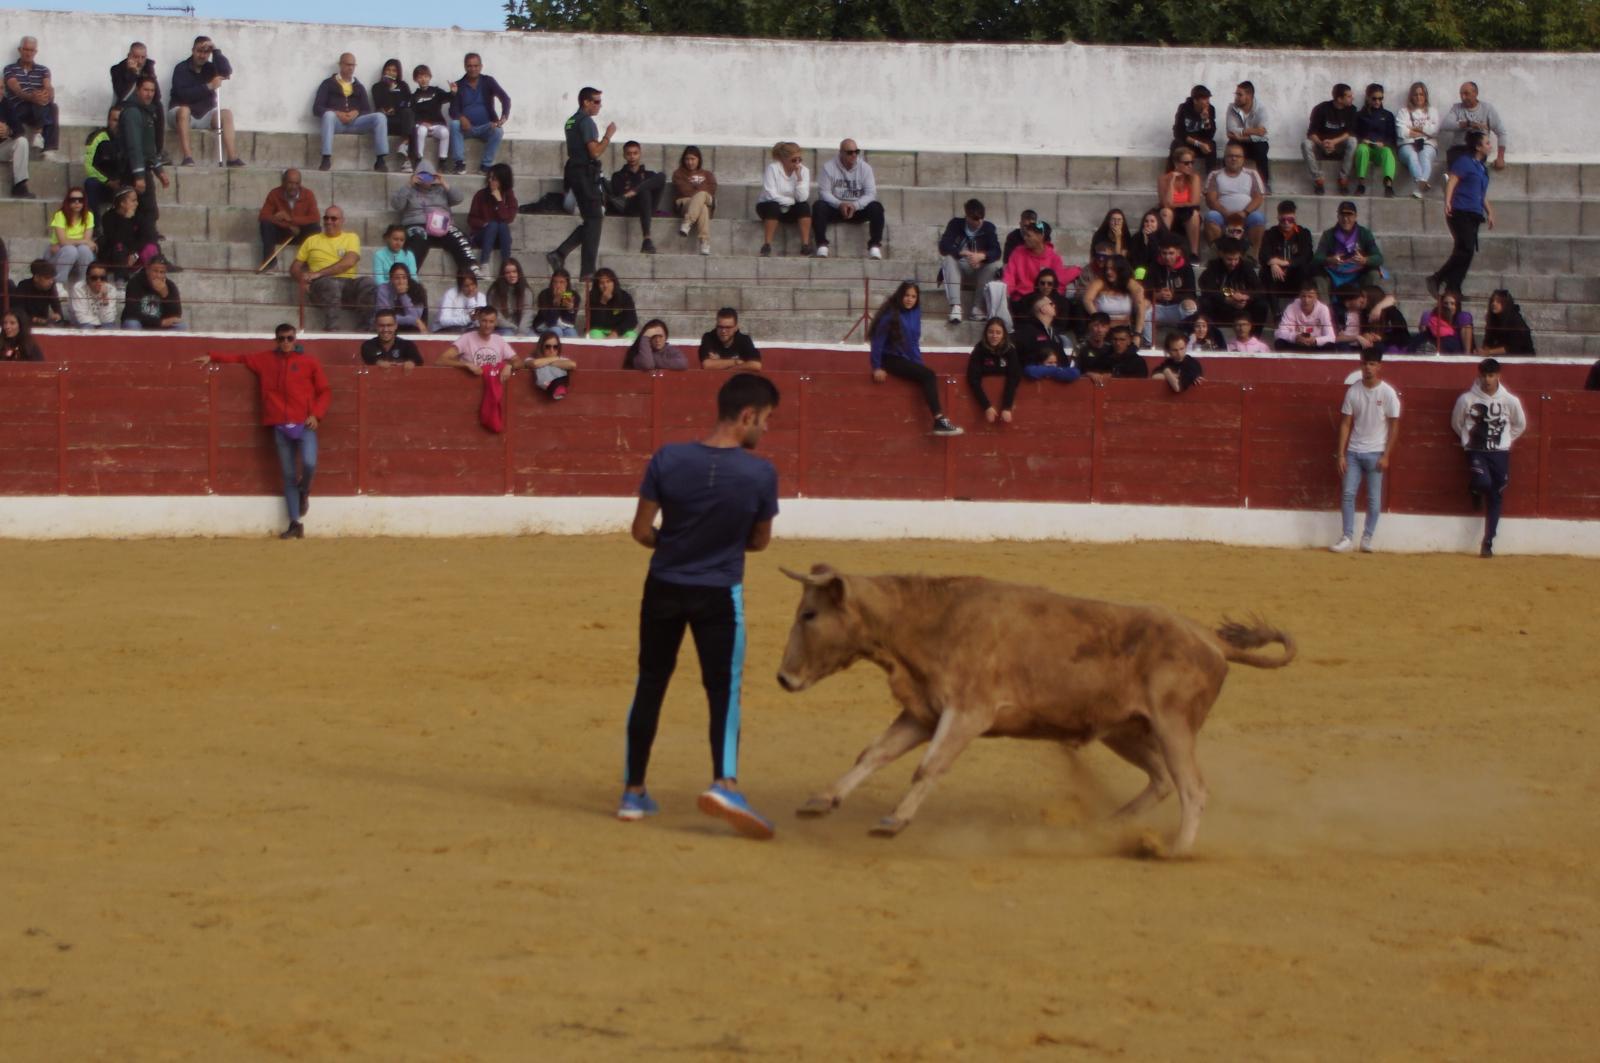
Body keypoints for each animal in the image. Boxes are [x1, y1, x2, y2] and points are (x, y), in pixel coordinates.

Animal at [777, 563, 1299, 858]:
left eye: (809, 614)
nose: (783, 678)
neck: (929, 620)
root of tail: (1209, 638)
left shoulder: (968, 713)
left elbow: (929, 767)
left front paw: (893, 821)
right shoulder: (922, 713)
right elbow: (872, 754)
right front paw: (821, 800)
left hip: (1174, 728)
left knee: (1193, 788)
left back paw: (1179, 850)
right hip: (1125, 731)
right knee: (1161, 780)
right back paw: (1112, 827)